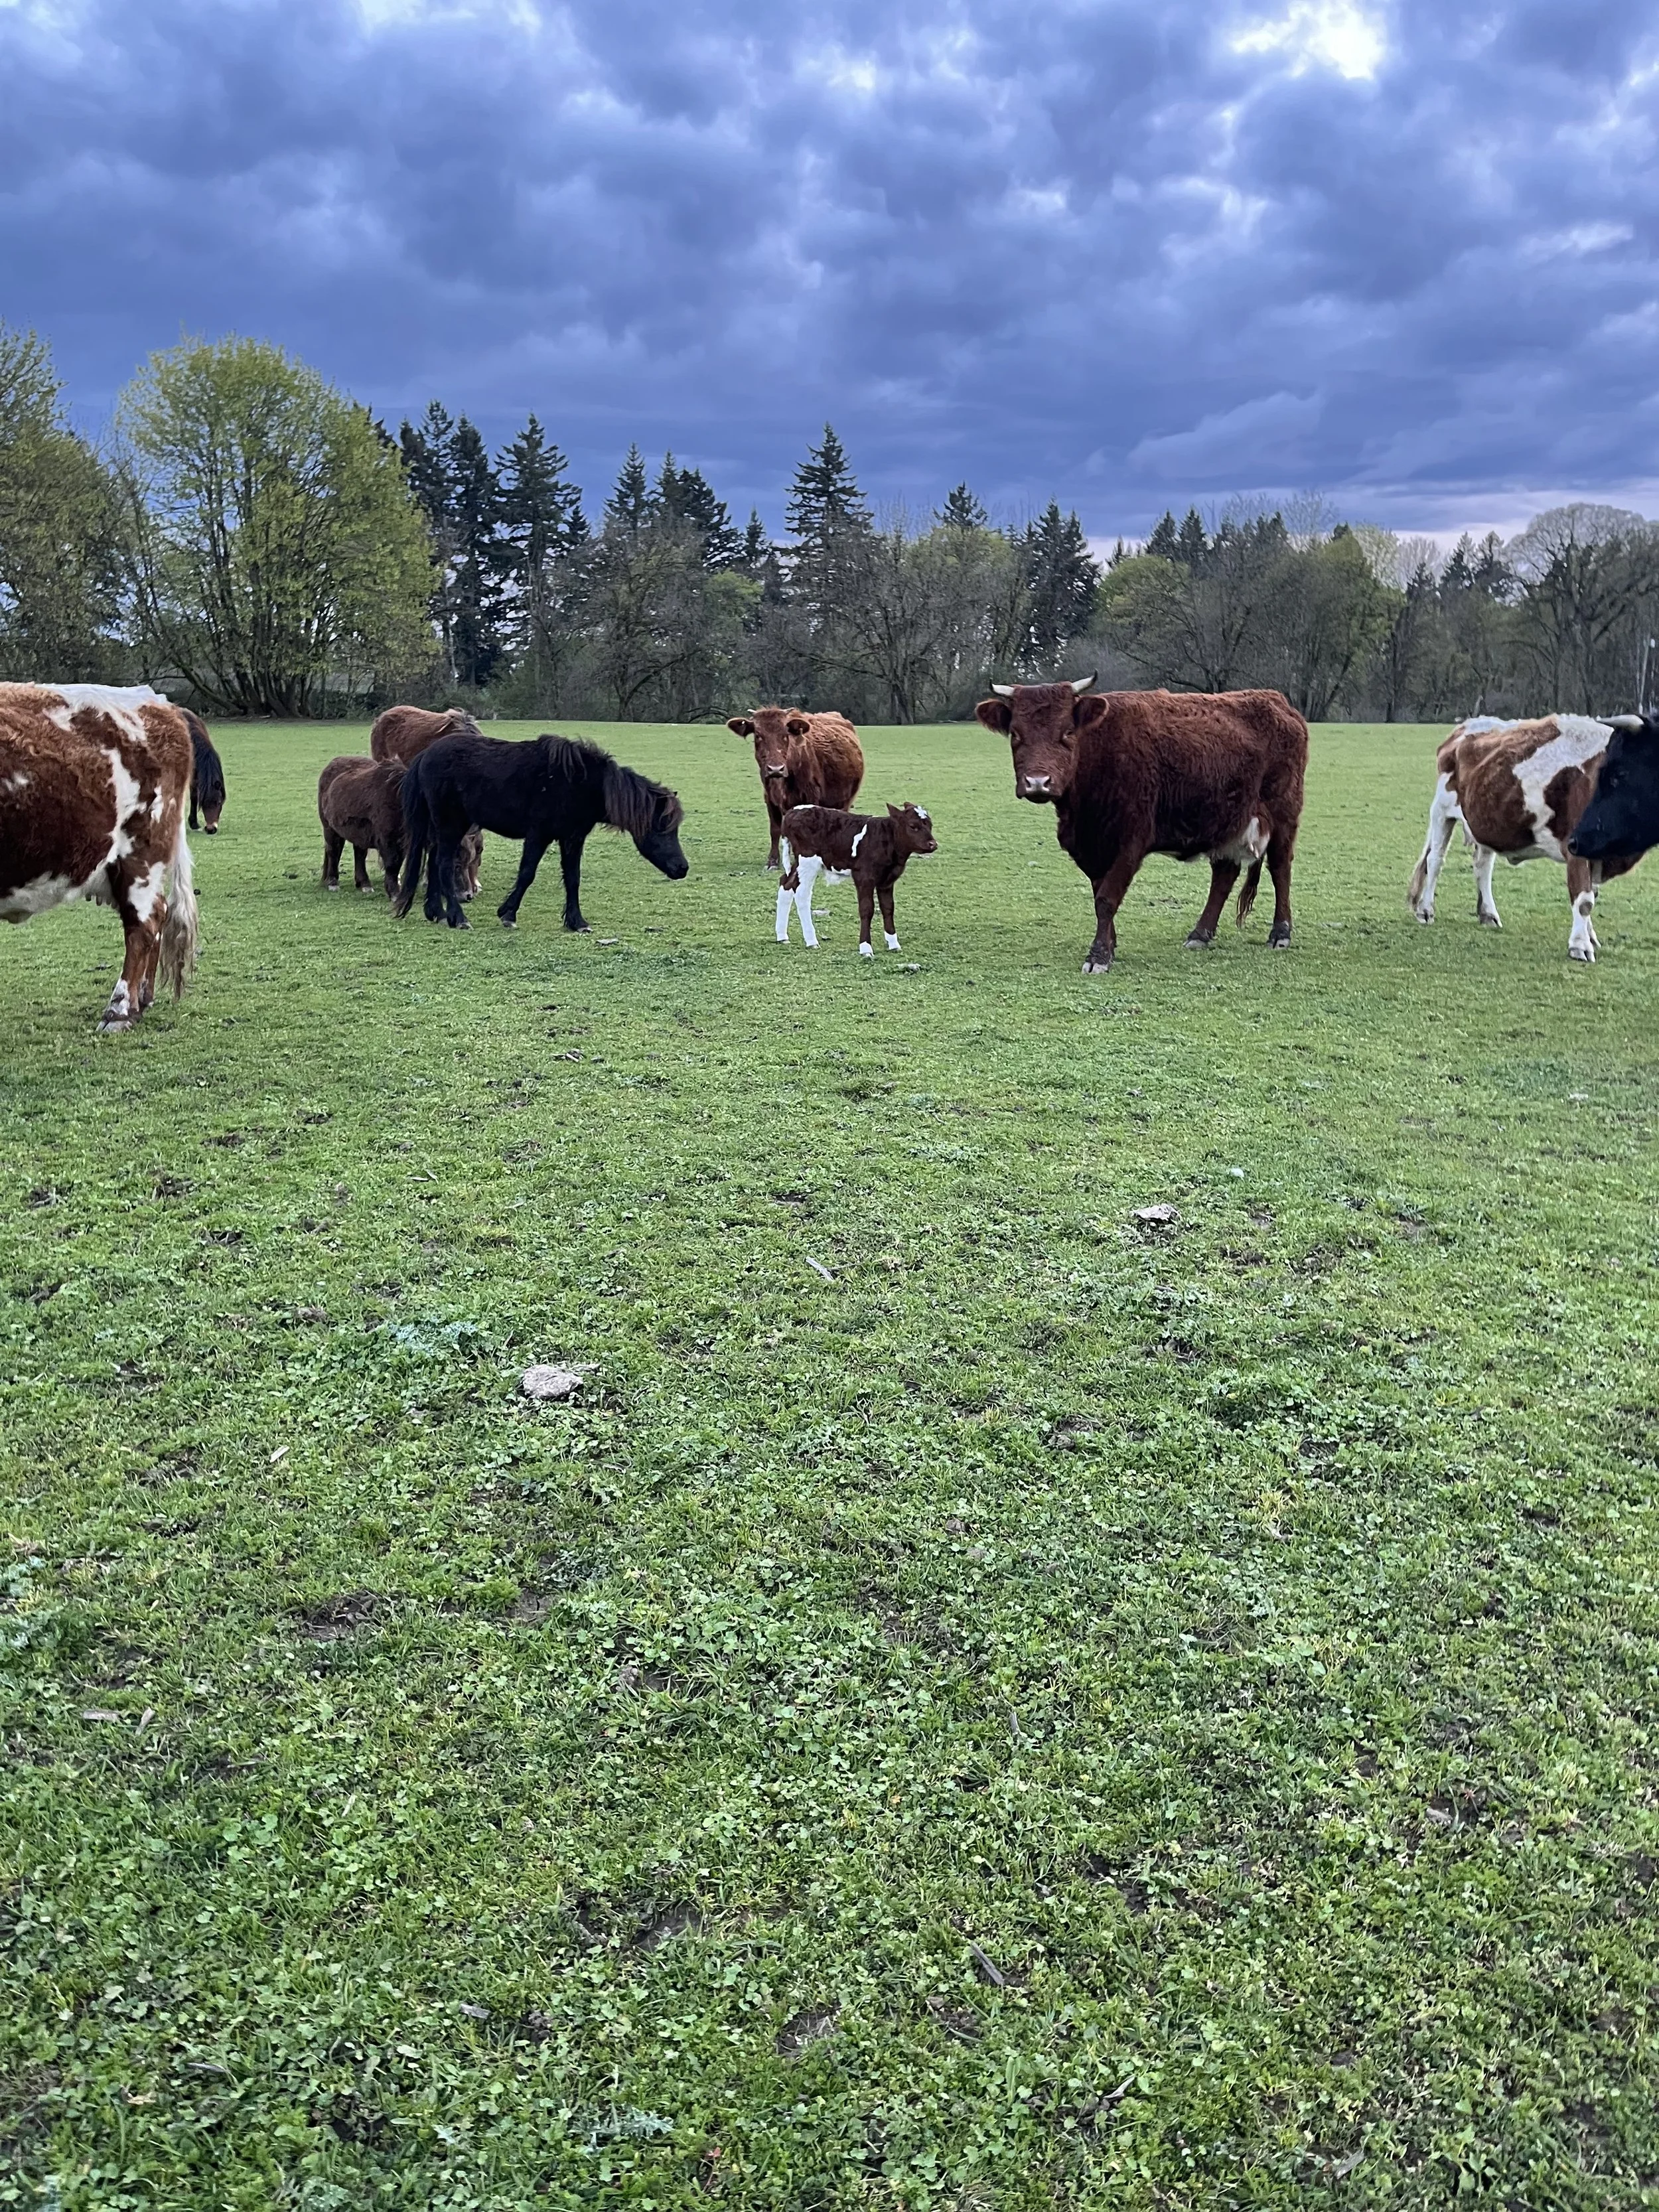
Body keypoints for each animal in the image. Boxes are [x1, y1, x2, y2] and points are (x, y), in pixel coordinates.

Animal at [185, 709, 226, 834]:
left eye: (219, 802)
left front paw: (194, 823)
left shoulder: (195, 774)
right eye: (203, 803)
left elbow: (194, 796)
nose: (211, 829)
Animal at [726, 707, 864, 869]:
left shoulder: (810, 798)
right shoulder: (770, 800)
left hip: (846, 800)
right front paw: (773, 861)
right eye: (758, 735)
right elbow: (775, 829)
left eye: (785, 735)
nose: (775, 769)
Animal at [777, 802, 938, 954]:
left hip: (799, 863)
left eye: (930, 825)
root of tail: (793, 811)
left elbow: (888, 908)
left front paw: (894, 945)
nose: (933, 844)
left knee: (786, 884)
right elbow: (867, 909)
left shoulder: (887, 881)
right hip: (808, 861)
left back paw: (782, 937)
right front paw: (866, 948)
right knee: (802, 894)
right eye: (913, 826)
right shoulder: (864, 877)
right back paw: (811, 941)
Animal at [974, 680, 1308, 972]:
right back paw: (1200, 934)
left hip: (1283, 815)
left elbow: (1107, 899)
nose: (1037, 782)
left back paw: (1280, 933)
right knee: (1224, 875)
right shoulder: (1095, 848)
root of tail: (1275, 700)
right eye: (1015, 734)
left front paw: (1098, 956)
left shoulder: (1130, 842)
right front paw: (1110, 945)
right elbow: (1100, 896)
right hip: (1225, 821)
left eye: (1068, 731)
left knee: (1280, 868)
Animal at [1408, 714, 1641, 962]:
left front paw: (1591, 938)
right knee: (1435, 861)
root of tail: (1466, 726)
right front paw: (1580, 947)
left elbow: (1591, 894)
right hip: (1442, 811)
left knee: (1482, 866)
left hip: (1485, 821)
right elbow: (1584, 899)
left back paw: (1488, 914)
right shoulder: (1576, 849)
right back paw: (1426, 910)